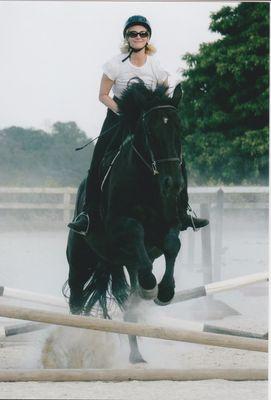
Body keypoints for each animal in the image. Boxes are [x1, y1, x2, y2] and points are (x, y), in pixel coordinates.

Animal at [66, 81, 185, 362]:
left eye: (180, 129)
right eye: (150, 132)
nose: (173, 184)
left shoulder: (171, 225)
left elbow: (172, 245)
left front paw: (165, 291)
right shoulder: (118, 225)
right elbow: (134, 229)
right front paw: (152, 286)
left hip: (121, 264)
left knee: (130, 304)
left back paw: (136, 356)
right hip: (79, 261)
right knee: (76, 302)